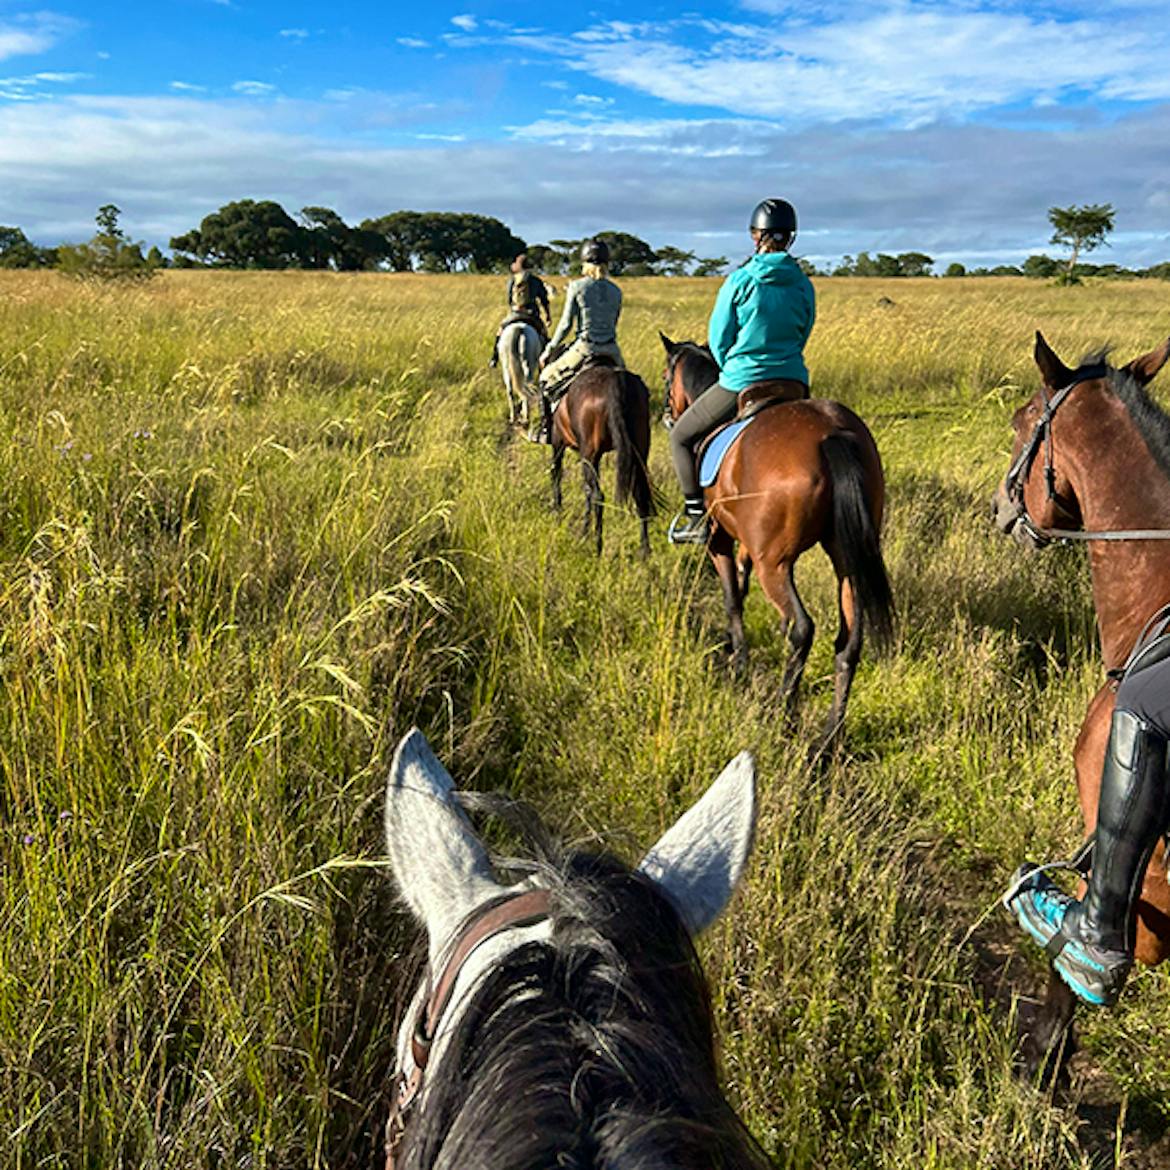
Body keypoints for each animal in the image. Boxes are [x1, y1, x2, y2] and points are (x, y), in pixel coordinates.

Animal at [549, 362, 654, 557]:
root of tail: (615, 383)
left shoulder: (558, 442)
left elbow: (557, 475)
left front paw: (561, 515)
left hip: (589, 454)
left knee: (598, 495)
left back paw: (597, 547)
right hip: (639, 452)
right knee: (640, 495)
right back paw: (644, 551)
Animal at [660, 334, 893, 750]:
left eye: (666, 376)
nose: (665, 413)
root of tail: (830, 432)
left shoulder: (720, 540)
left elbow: (732, 598)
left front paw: (738, 660)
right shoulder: (749, 543)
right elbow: (742, 576)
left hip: (775, 566)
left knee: (804, 629)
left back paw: (785, 714)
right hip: (846, 562)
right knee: (848, 643)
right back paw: (830, 734)